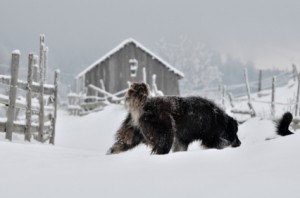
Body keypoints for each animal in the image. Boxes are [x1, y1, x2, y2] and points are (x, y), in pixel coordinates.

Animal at [108, 82, 241, 155]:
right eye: (234, 132)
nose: (240, 143)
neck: (217, 118)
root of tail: (145, 104)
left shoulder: (181, 140)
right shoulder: (211, 138)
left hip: (130, 138)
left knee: (115, 148)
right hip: (166, 135)